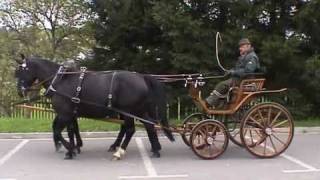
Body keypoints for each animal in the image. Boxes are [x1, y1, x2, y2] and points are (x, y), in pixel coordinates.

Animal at [14, 55, 175, 159]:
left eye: (21, 70)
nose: (20, 91)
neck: (60, 80)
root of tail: (142, 77)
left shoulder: (65, 113)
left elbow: (58, 131)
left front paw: (70, 149)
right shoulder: (70, 113)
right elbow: (71, 130)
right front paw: (74, 147)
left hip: (129, 110)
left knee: (130, 129)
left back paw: (120, 151)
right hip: (138, 110)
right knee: (148, 125)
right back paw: (155, 149)